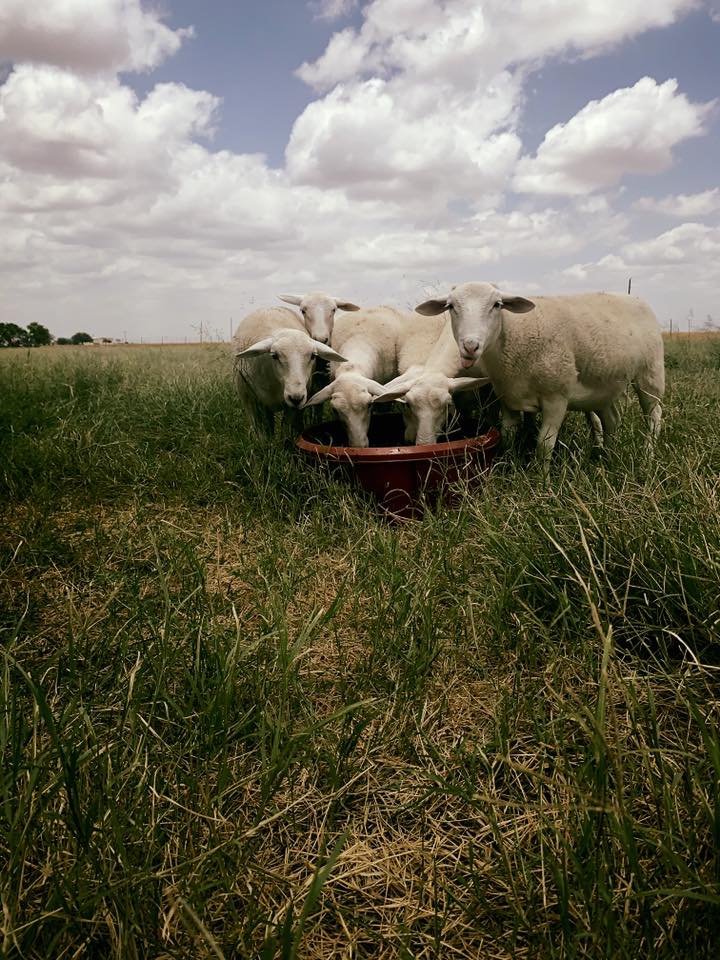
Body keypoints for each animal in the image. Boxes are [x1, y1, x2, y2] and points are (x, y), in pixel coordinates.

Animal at [232, 306, 346, 436]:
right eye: (274, 355)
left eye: (313, 356)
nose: (296, 398)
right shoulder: (252, 404)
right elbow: (263, 435)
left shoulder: (293, 409)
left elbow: (287, 431)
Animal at [415, 282, 665, 467]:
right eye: (450, 306)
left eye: (497, 305)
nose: (470, 346)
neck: (514, 334)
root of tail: (635, 298)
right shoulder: (508, 397)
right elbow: (507, 436)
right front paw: (508, 465)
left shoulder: (557, 398)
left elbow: (544, 445)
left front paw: (542, 481)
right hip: (604, 384)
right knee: (612, 419)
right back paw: (608, 457)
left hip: (651, 373)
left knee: (654, 415)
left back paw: (647, 456)